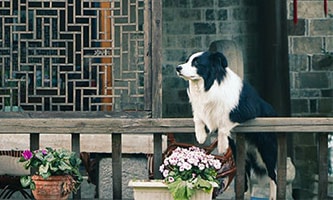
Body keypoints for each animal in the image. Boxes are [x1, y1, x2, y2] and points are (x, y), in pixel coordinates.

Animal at [176, 50, 278, 199]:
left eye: (196, 63)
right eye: (187, 61)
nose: (178, 68)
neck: (208, 85)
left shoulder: (245, 110)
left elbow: (224, 122)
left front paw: (222, 146)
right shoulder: (201, 108)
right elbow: (198, 117)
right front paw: (201, 136)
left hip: (266, 149)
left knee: (272, 174)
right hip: (241, 152)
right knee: (246, 176)